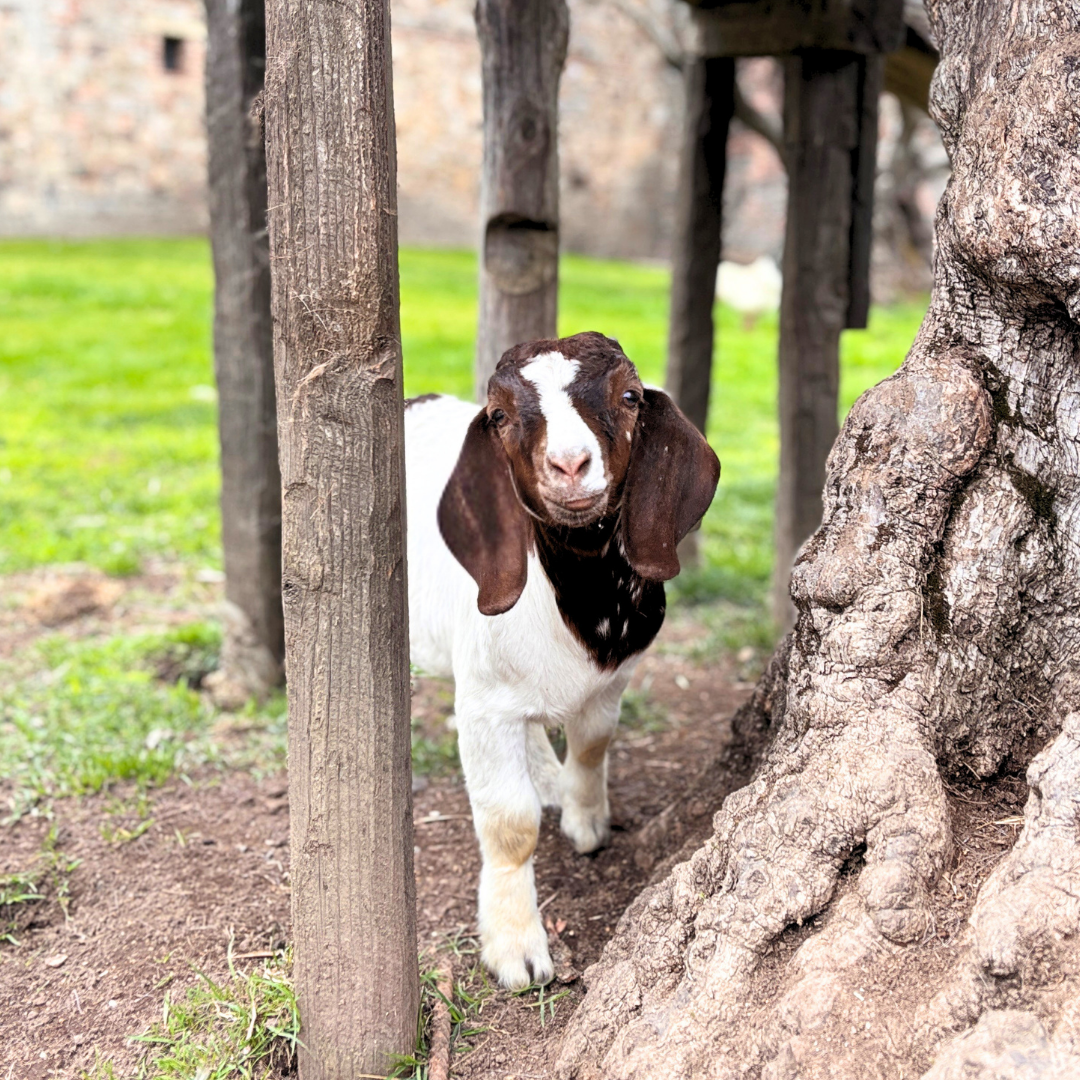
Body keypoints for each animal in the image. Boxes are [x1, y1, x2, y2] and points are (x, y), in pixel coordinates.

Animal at [405, 331, 720, 988]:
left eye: (629, 396)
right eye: (500, 415)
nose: (570, 464)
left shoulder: (611, 683)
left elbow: (594, 745)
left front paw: (586, 821)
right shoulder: (484, 705)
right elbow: (510, 824)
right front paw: (516, 948)